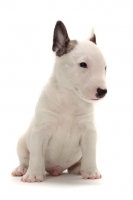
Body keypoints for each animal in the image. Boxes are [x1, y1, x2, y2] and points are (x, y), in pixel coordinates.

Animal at [11, 21, 107, 182]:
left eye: (105, 67)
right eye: (83, 64)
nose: (103, 92)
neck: (70, 97)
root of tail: (55, 170)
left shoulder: (89, 132)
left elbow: (90, 153)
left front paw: (91, 172)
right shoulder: (40, 131)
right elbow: (37, 155)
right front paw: (33, 175)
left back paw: (79, 169)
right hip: (22, 142)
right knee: (26, 159)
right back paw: (23, 169)